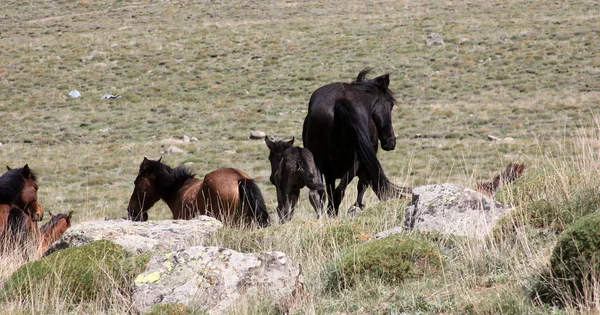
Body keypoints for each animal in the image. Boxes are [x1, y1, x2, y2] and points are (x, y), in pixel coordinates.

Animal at [302, 68, 410, 217]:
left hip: (317, 160)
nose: (391, 142)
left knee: (319, 194)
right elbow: (361, 186)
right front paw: (356, 207)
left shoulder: (328, 173)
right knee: (340, 191)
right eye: (391, 105)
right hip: (355, 162)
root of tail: (339, 101)